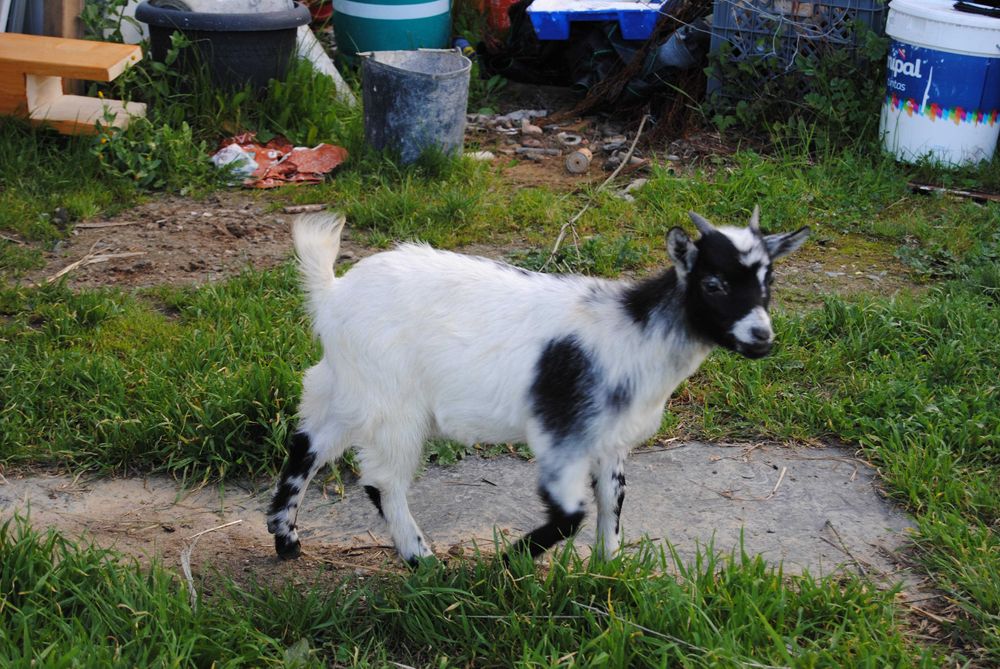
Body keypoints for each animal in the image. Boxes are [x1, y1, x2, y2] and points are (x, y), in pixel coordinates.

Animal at [267, 209, 809, 564]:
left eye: (769, 282)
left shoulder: (609, 437)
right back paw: (422, 561)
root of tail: (333, 293)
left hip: (347, 384)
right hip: (392, 401)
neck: (634, 332)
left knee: (307, 443)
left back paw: (286, 540)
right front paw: (511, 561)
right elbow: (572, 512)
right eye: (713, 284)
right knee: (382, 481)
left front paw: (609, 568)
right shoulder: (562, 429)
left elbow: (613, 497)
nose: (762, 338)